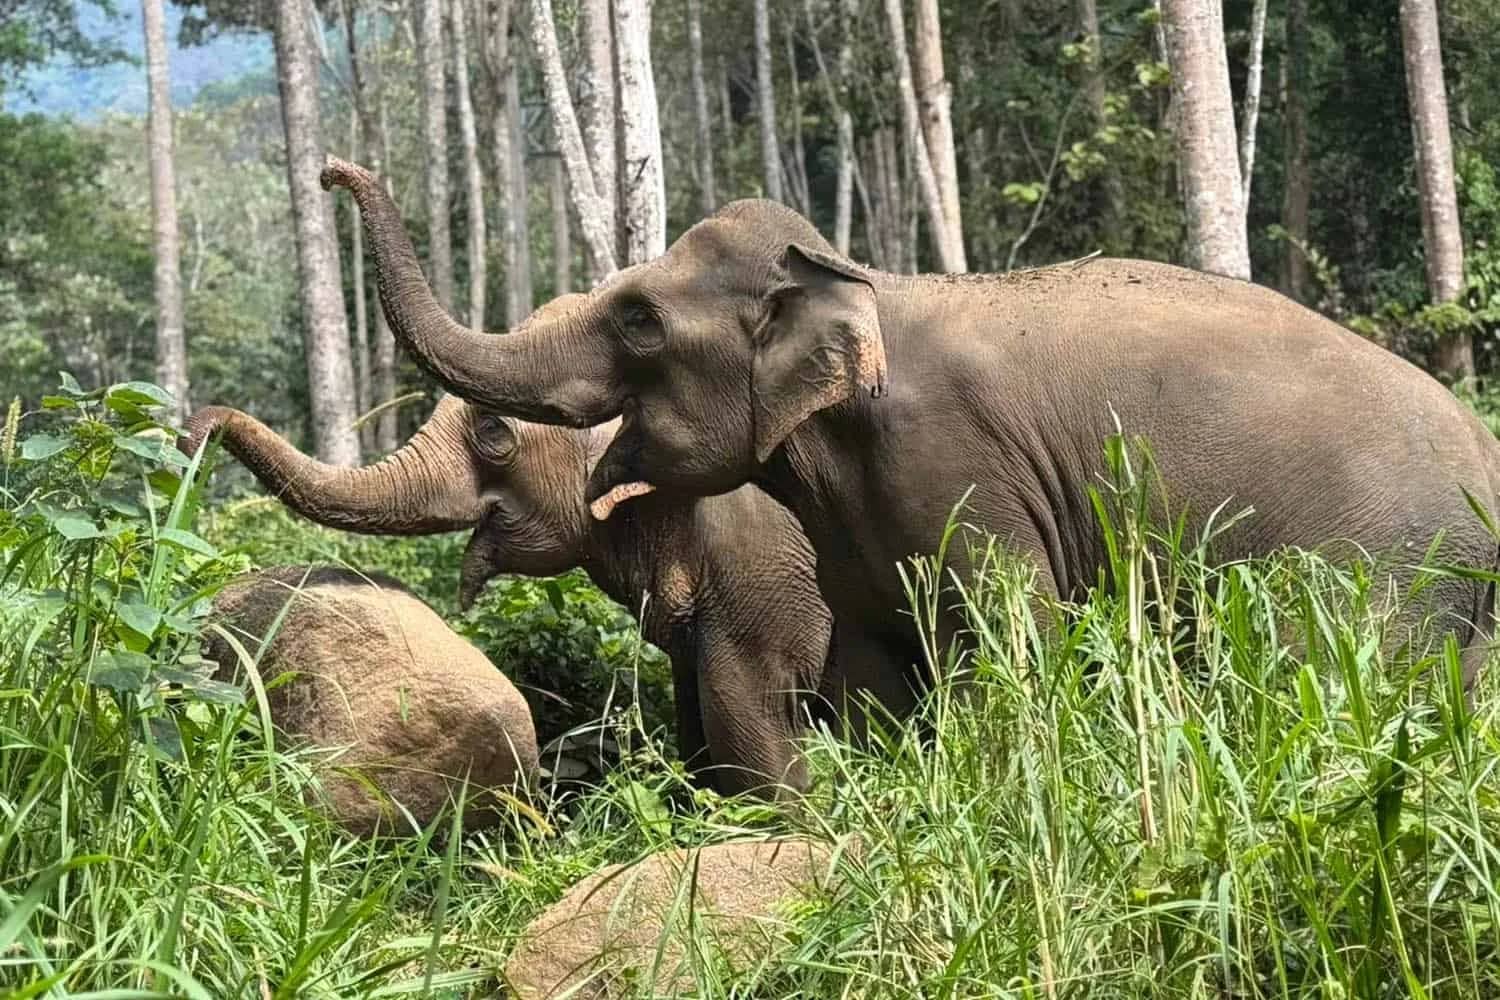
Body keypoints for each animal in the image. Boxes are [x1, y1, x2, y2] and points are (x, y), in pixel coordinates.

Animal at [321, 153, 1500, 701]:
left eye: (639, 320)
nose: (333, 169)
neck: (860, 279)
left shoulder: (962, 471)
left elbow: (1014, 641)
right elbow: (871, 670)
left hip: (1387, 571)